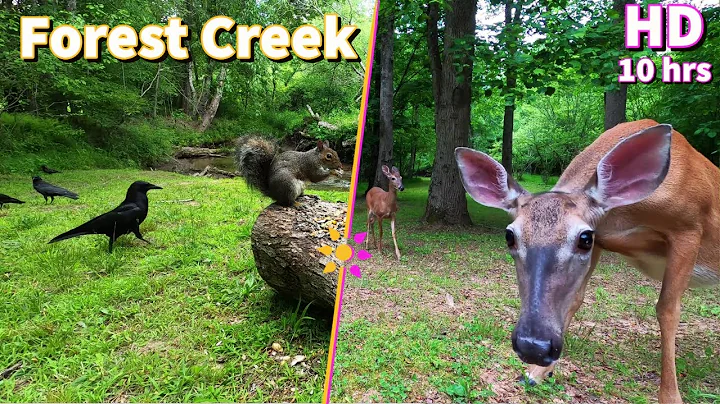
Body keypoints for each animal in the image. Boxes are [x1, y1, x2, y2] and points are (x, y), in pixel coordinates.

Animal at [455, 120, 719, 404]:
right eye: (509, 236)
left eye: (584, 238)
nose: (534, 346)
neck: (626, 214)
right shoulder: (603, 239)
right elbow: (577, 298)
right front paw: (536, 373)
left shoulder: (689, 226)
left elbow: (668, 309)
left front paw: (671, 396)